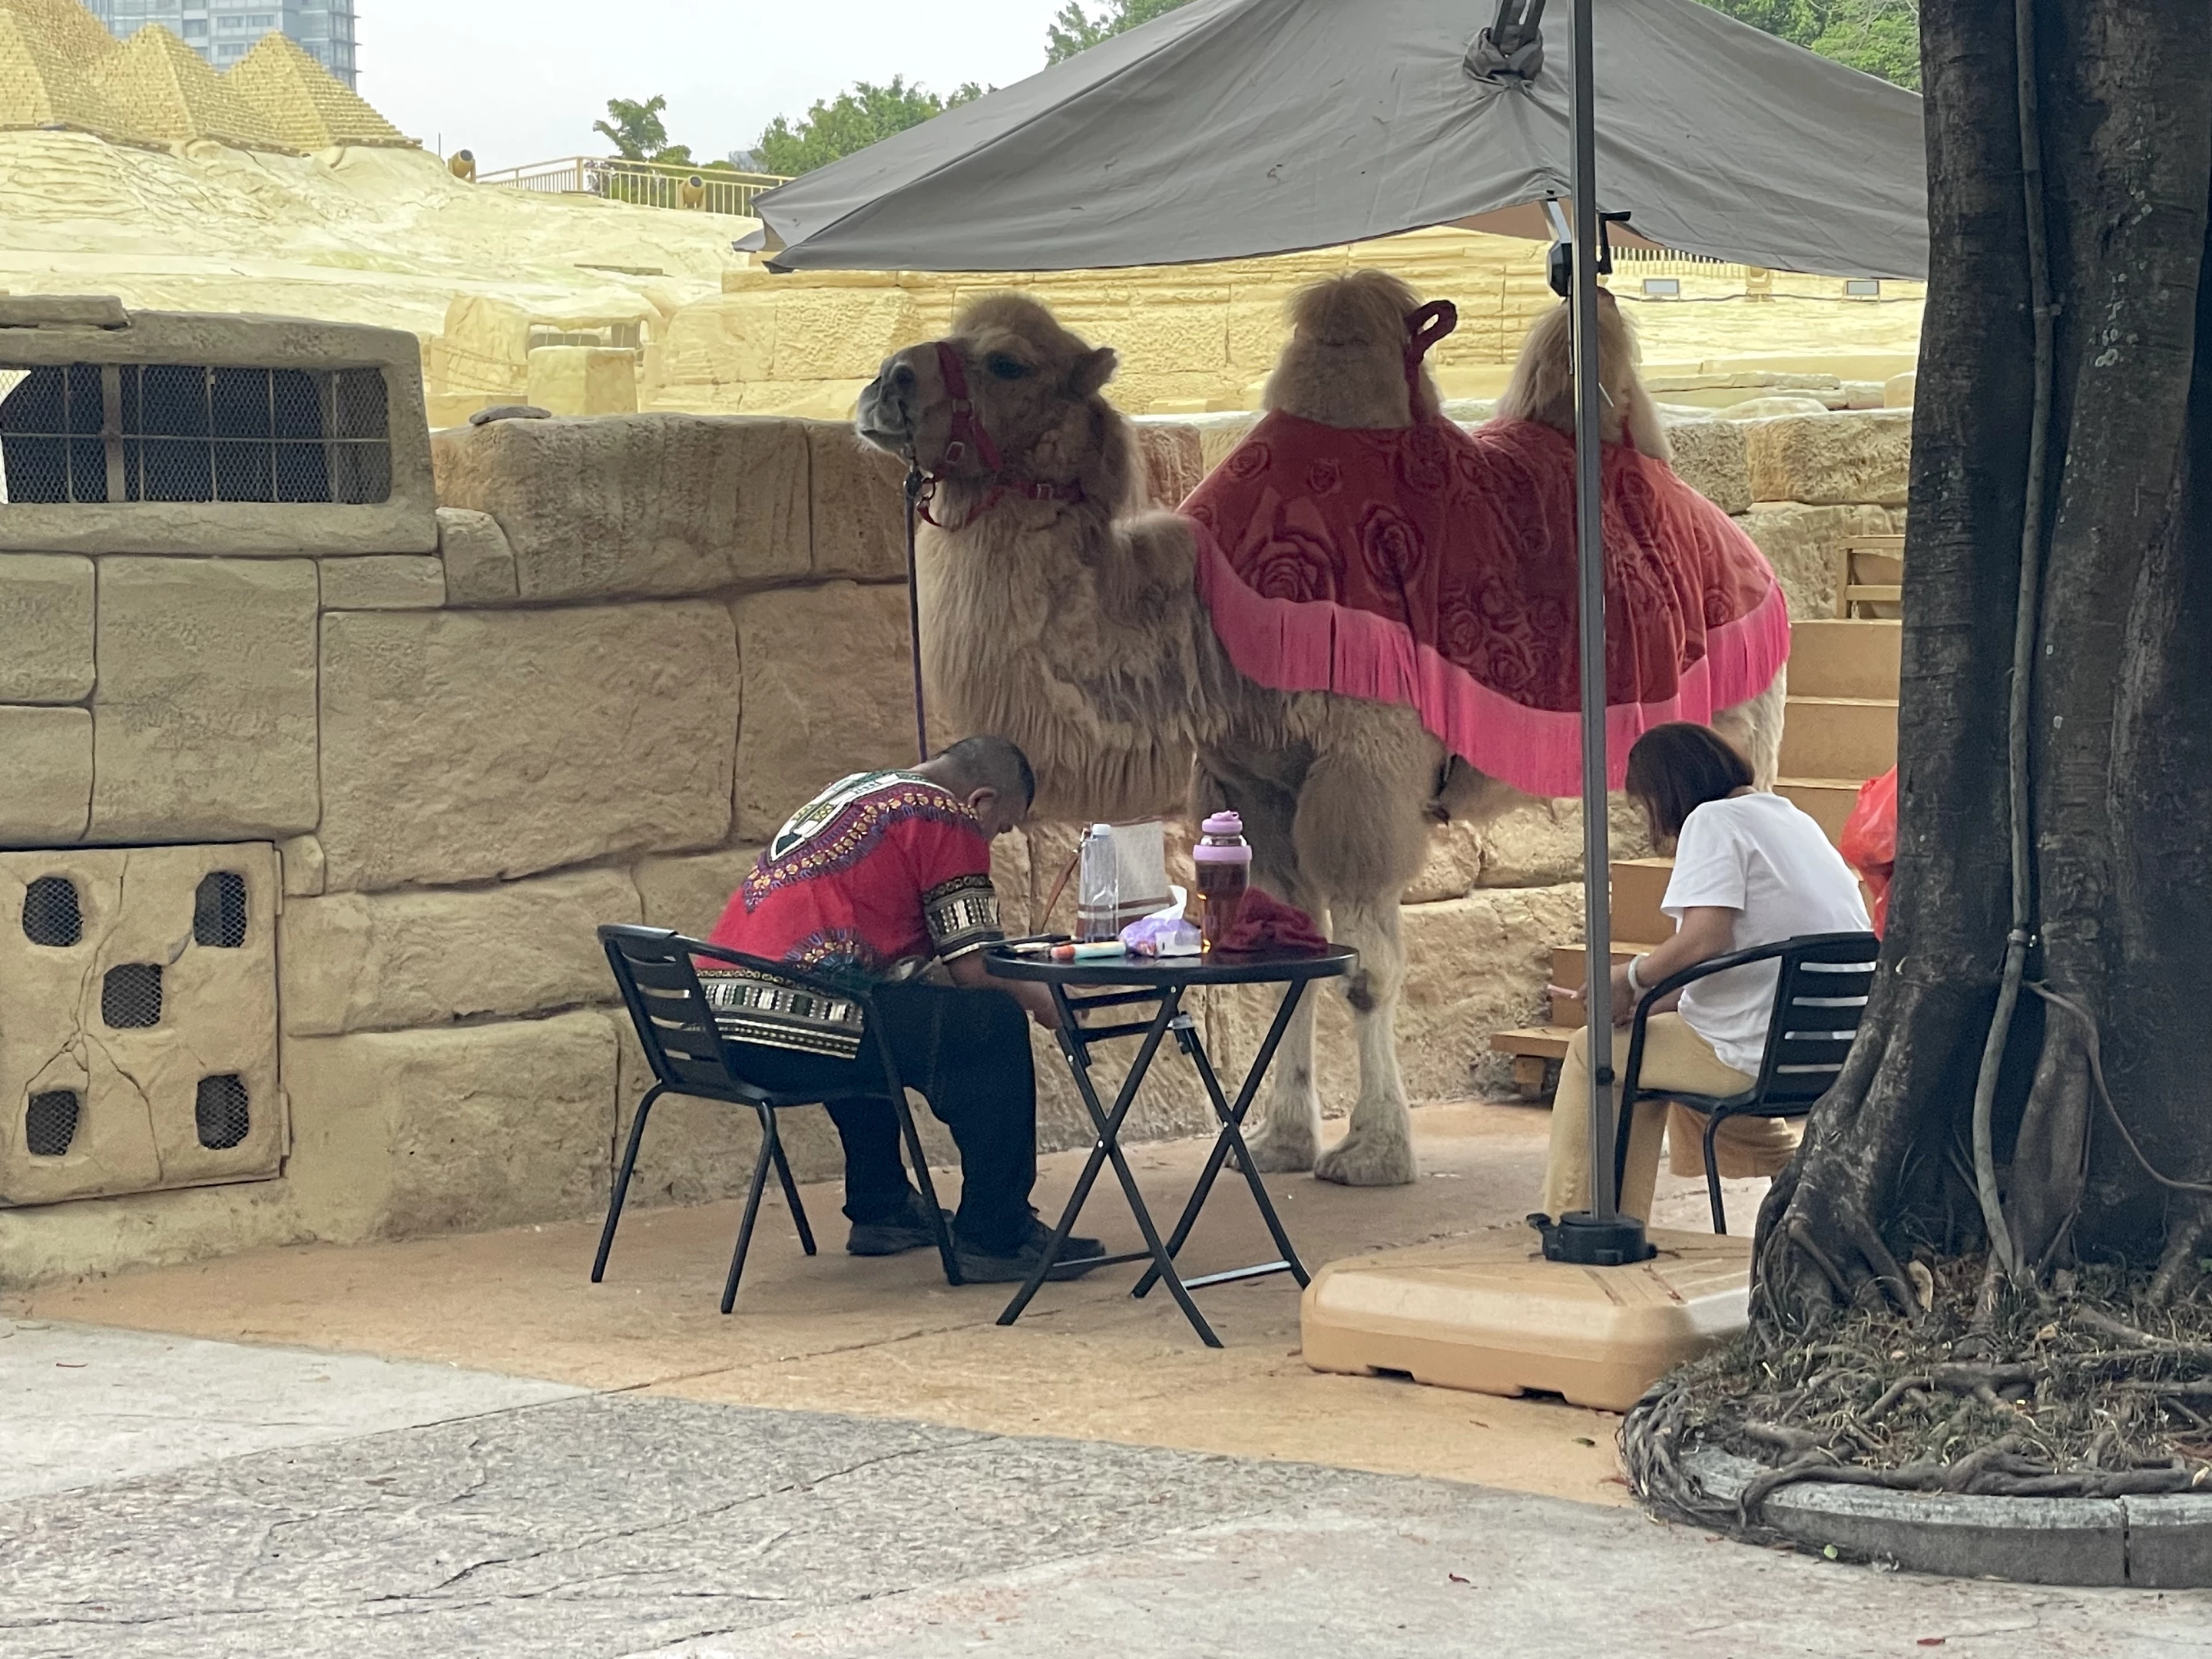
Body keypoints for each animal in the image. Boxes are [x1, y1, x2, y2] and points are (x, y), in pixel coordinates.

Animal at [855, 271, 1786, 1187]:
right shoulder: (1252, 784)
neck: (1204, 621)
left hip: (1738, 718)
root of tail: (1735, 537)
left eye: (1007, 362)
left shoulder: (1361, 766)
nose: (883, 385)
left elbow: (1367, 972)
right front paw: (1281, 1143)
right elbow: (1288, 973)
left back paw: (1751, 1137)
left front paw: (1372, 1153)